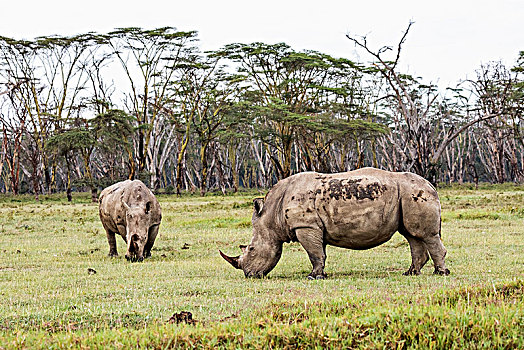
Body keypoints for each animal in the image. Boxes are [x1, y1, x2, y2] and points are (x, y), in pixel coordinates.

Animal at [219, 167, 448, 278]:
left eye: (251, 249)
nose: (249, 275)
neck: (272, 214)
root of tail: (431, 185)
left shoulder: (305, 226)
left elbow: (314, 254)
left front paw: (313, 277)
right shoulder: (313, 227)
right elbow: (320, 253)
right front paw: (321, 274)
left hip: (414, 193)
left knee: (426, 235)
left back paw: (440, 273)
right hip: (407, 196)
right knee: (412, 235)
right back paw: (411, 273)